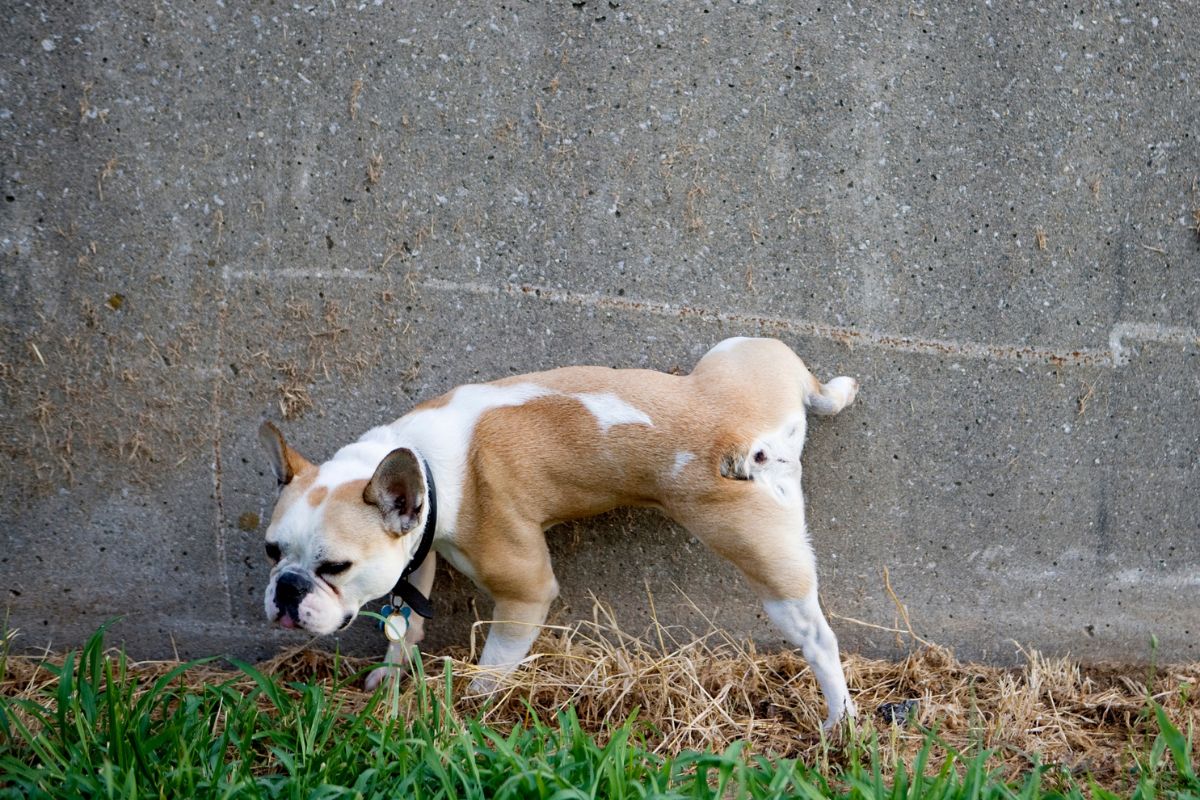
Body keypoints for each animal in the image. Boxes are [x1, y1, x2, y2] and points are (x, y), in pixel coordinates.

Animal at [260, 335, 864, 729]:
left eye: (334, 567)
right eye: (271, 551)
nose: (286, 589)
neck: (422, 465)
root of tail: (747, 436)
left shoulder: (524, 592)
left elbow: (495, 662)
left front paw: (471, 705)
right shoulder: (417, 551)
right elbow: (405, 622)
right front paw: (391, 675)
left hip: (763, 558)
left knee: (816, 637)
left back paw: (839, 719)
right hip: (742, 350)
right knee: (811, 381)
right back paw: (838, 389)